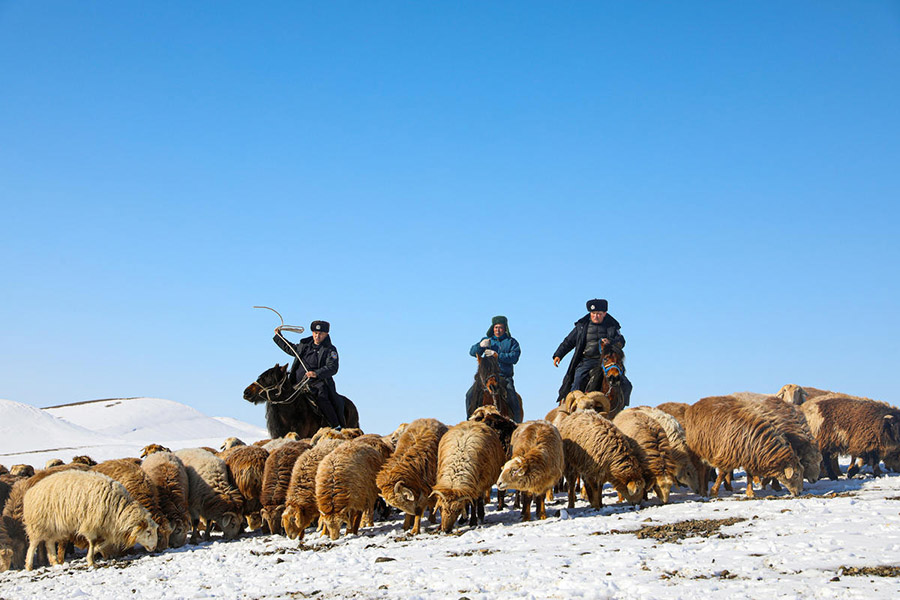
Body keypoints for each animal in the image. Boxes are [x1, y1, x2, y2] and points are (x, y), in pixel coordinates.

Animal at [23, 472, 158, 568]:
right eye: (148, 531)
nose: (154, 548)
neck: (118, 507)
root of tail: (30, 491)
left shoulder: (106, 527)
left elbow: (105, 542)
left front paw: (96, 551)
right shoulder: (90, 524)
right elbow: (92, 542)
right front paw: (91, 561)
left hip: (54, 527)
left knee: (49, 543)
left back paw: (55, 562)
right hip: (38, 524)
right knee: (33, 544)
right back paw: (29, 565)